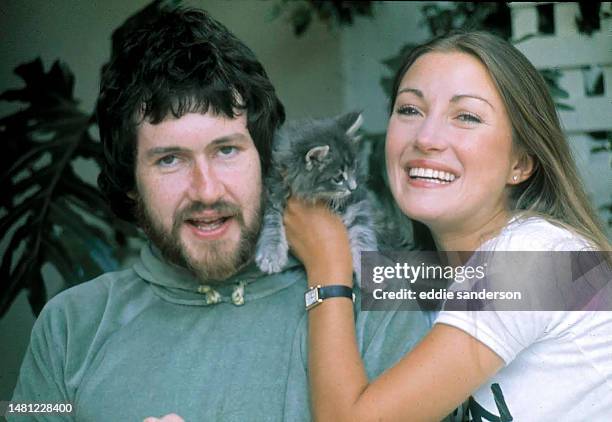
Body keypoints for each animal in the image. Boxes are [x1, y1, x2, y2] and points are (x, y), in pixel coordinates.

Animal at [255, 111, 378, 284]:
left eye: (353, 168)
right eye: (338, 178)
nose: (353, 187)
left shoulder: (358, 202)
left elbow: (363, 233)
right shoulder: (272, 188)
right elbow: (271, 221)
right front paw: (271, 253)